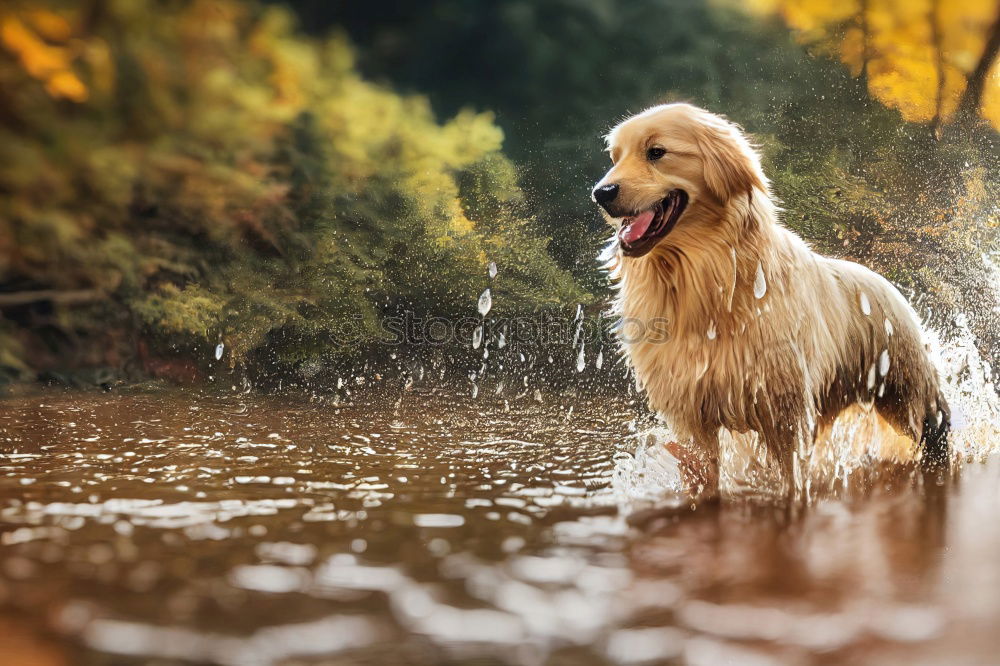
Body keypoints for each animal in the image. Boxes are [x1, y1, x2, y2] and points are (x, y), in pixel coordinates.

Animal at [592, 102, 952, 498]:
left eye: (656, 152)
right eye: (615, 157)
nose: (601, 192)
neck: (708, 284)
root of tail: (888, 285)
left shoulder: (784, 412)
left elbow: (791, 481)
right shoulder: (692, 413)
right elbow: (705, 475)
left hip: (906, 396)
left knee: (935, 431)